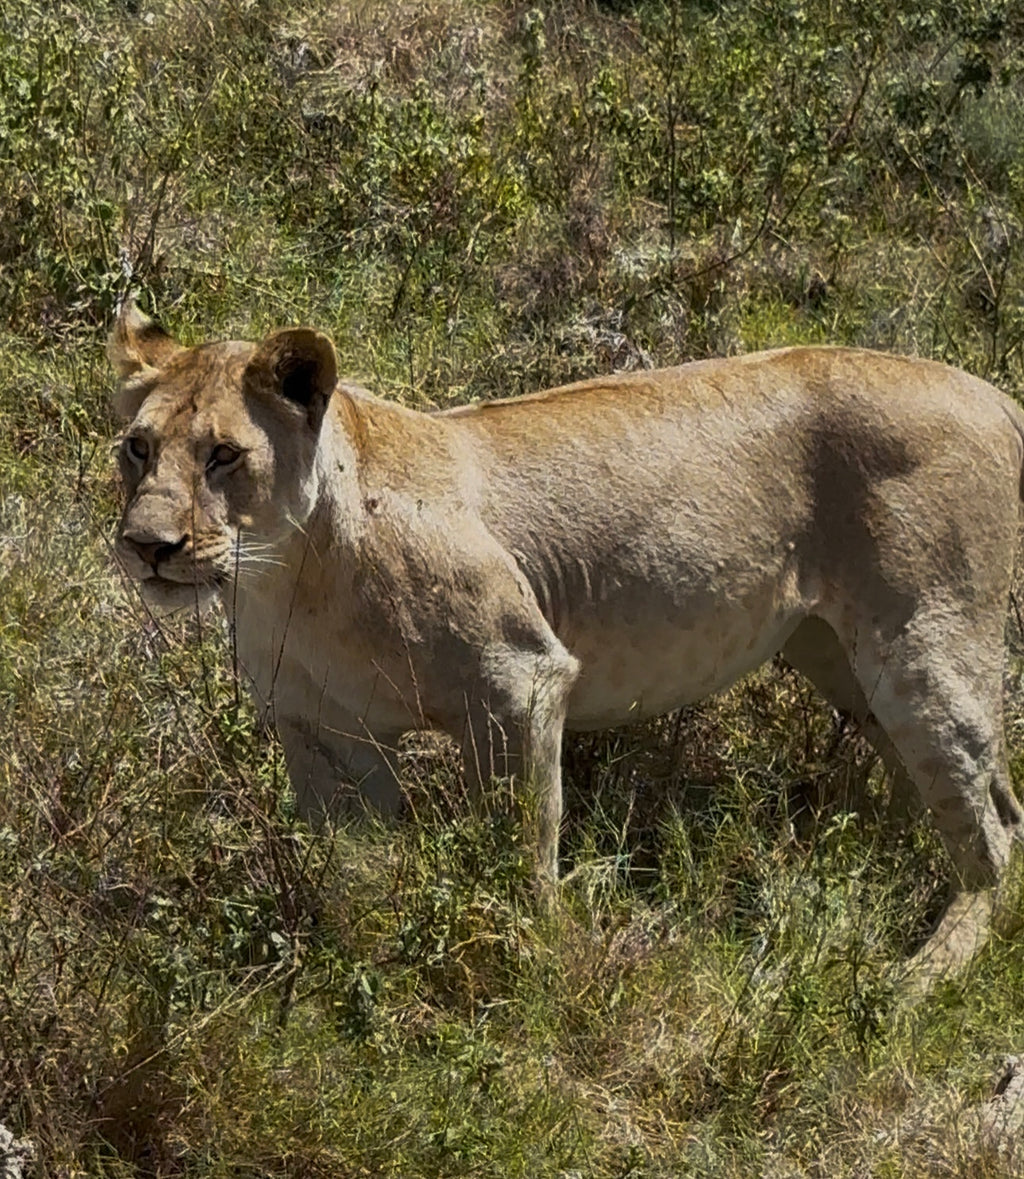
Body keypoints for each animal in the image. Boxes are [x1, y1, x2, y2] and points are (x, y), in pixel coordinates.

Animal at [109, 303, 1024, 984]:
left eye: (225, 455)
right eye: (138, 448)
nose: (147, 544)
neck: (289, 579)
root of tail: (991, 390)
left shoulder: (519, 681)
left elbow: (523, 844)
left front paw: (534, 960)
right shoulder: (322, 730)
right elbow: (351, 867)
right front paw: (362, 953)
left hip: (922, 648)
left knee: (992, 837)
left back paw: (924, 974)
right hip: (842, 661)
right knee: (987, 800)